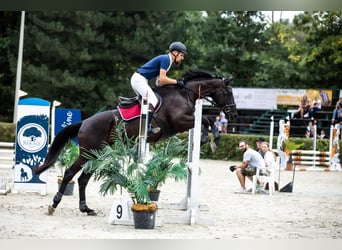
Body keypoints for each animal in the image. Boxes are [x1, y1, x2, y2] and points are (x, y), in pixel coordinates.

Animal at [34, 68, 238, 215]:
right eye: (228, 92)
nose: (234, 115)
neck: (184, 94)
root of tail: (84, 122)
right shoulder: (180, 121)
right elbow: (207, 120)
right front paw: (208, 139)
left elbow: (208, 121)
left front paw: (212, 140)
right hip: (88, 152)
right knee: (70, 173)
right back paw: (54, 205)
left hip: (98, 154)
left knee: (83, 178)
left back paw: (86, 209)